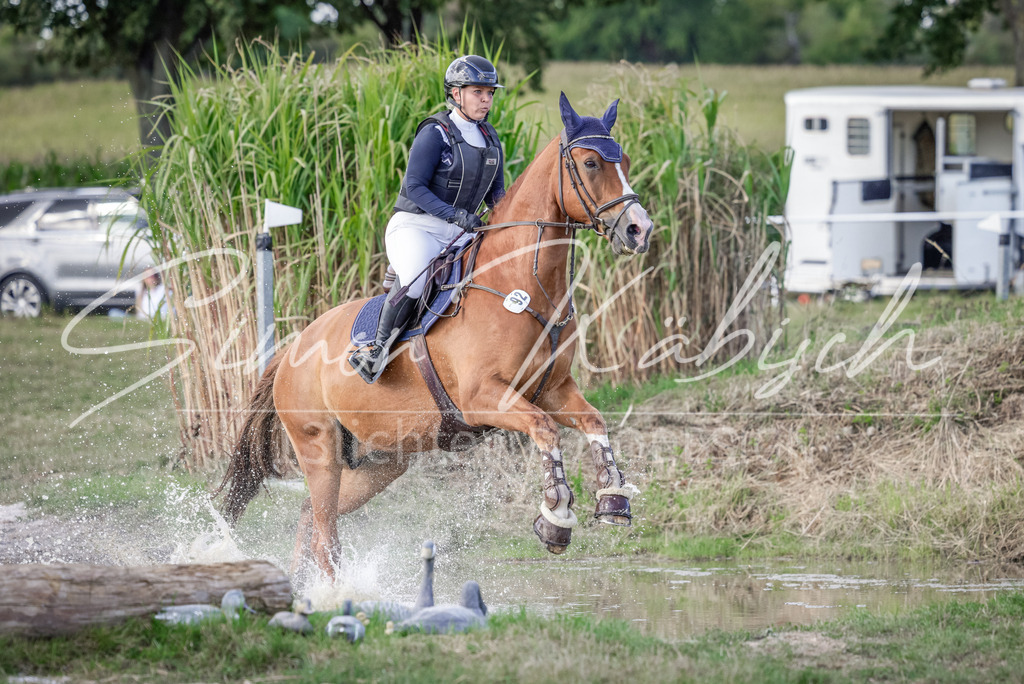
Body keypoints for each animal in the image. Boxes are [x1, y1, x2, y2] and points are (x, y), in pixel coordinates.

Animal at [221, 93, 654, 579]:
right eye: (591, 162)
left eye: (625, 161)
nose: (639, 229)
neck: (519, 282)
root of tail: (292, 349)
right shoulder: (484, 397)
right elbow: (545, 430)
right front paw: (555, 518)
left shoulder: (553, 390)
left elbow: (595, 421)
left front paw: (613, 499)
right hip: (319, 447)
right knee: (325, 535)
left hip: (383, 459)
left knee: (310, 517)